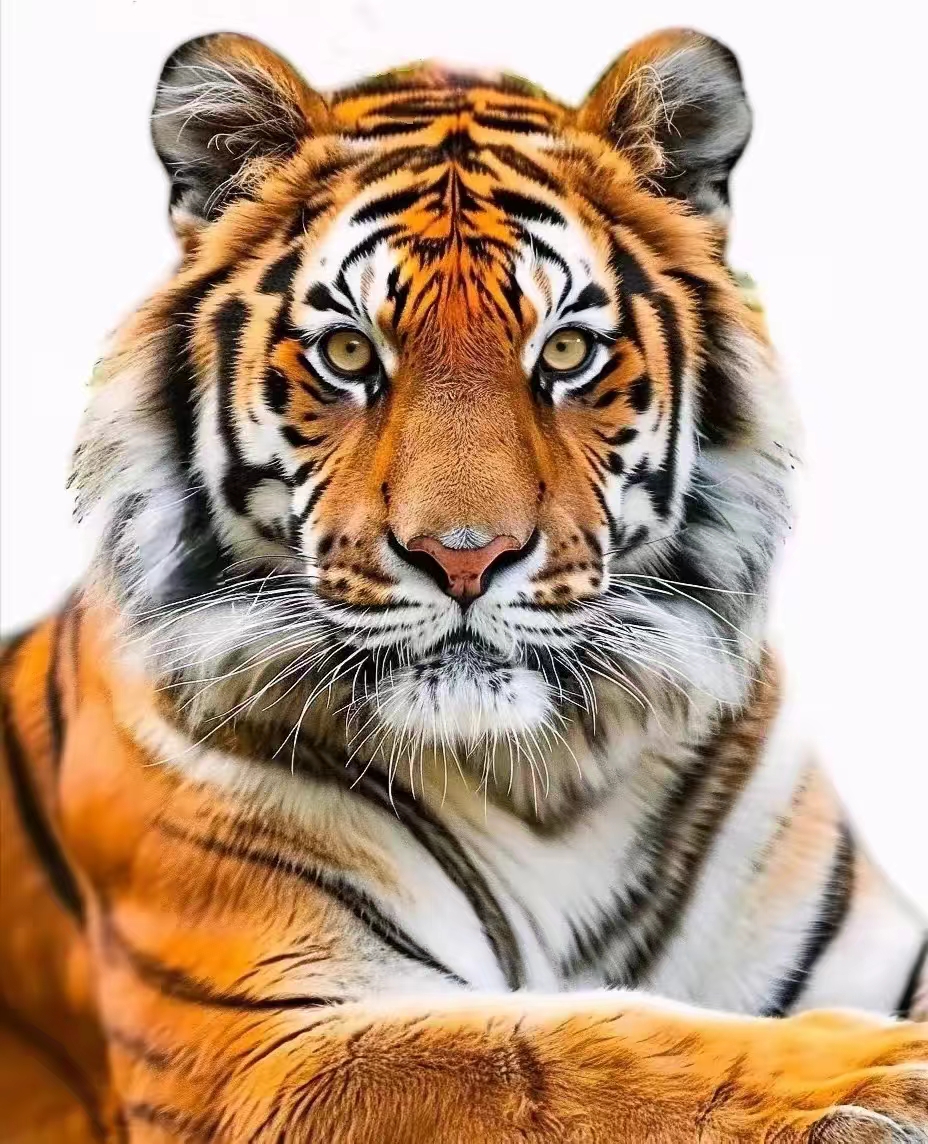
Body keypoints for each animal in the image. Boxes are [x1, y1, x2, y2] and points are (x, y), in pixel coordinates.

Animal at [1, 26, 926, 1143]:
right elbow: (574, 1053)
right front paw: (885, 1074)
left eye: (565, 350)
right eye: (347, 352)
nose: (464, 557)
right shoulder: (259, 1044)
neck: (550, 779)